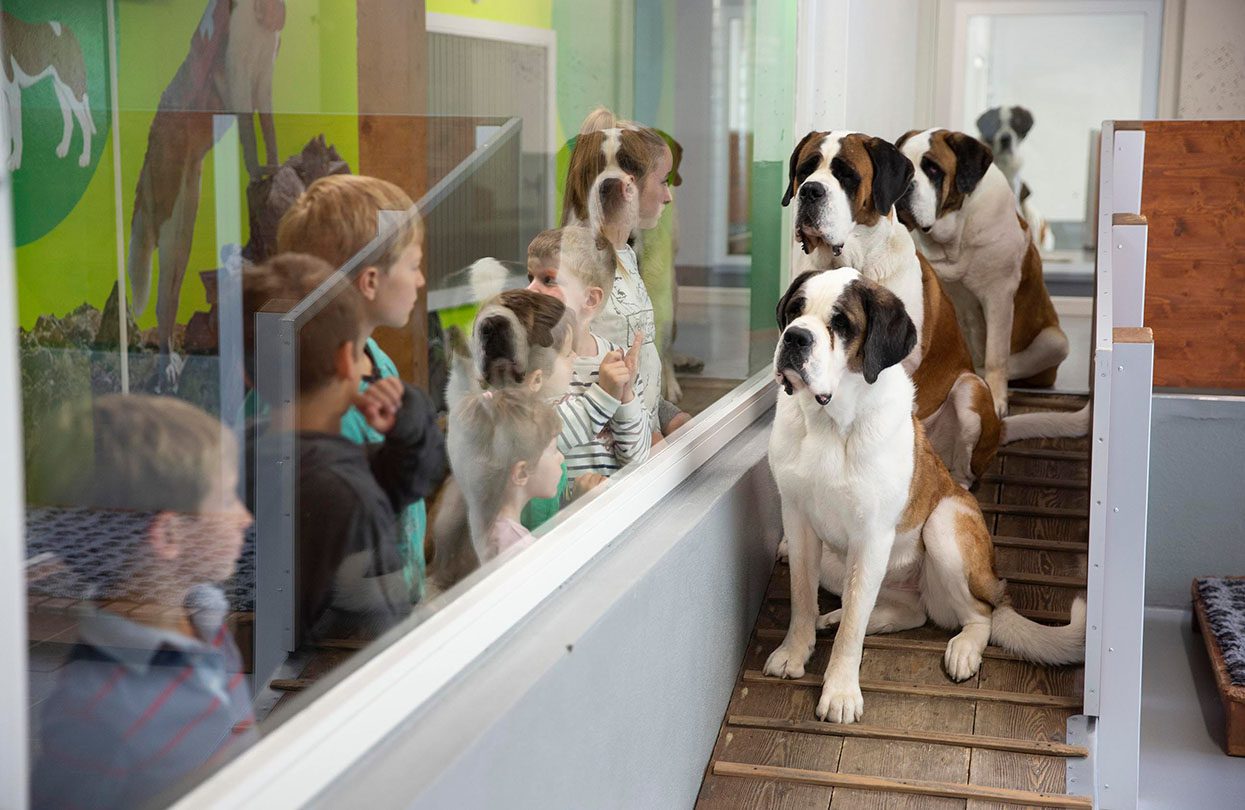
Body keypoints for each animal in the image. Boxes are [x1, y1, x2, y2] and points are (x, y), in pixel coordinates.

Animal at [761, 268, 1085, 726]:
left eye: (841, 324)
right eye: (794, 310)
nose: (795, 337)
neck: (828, 421)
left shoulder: (872, 536)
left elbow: (853, 627)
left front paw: (840, 692)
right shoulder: (798, 521)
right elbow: (800, 597)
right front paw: (794, 652)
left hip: (945, 525)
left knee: (981, 613)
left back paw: (964, 648)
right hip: (829, 560)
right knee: (905, 610)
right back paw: (840, 615)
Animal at [896, 128, 1070, 418]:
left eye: (932, 168)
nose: (904, 185)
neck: (954, 235)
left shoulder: (998, 297)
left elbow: (996, 356)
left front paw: (997, 400)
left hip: (1054, 341)